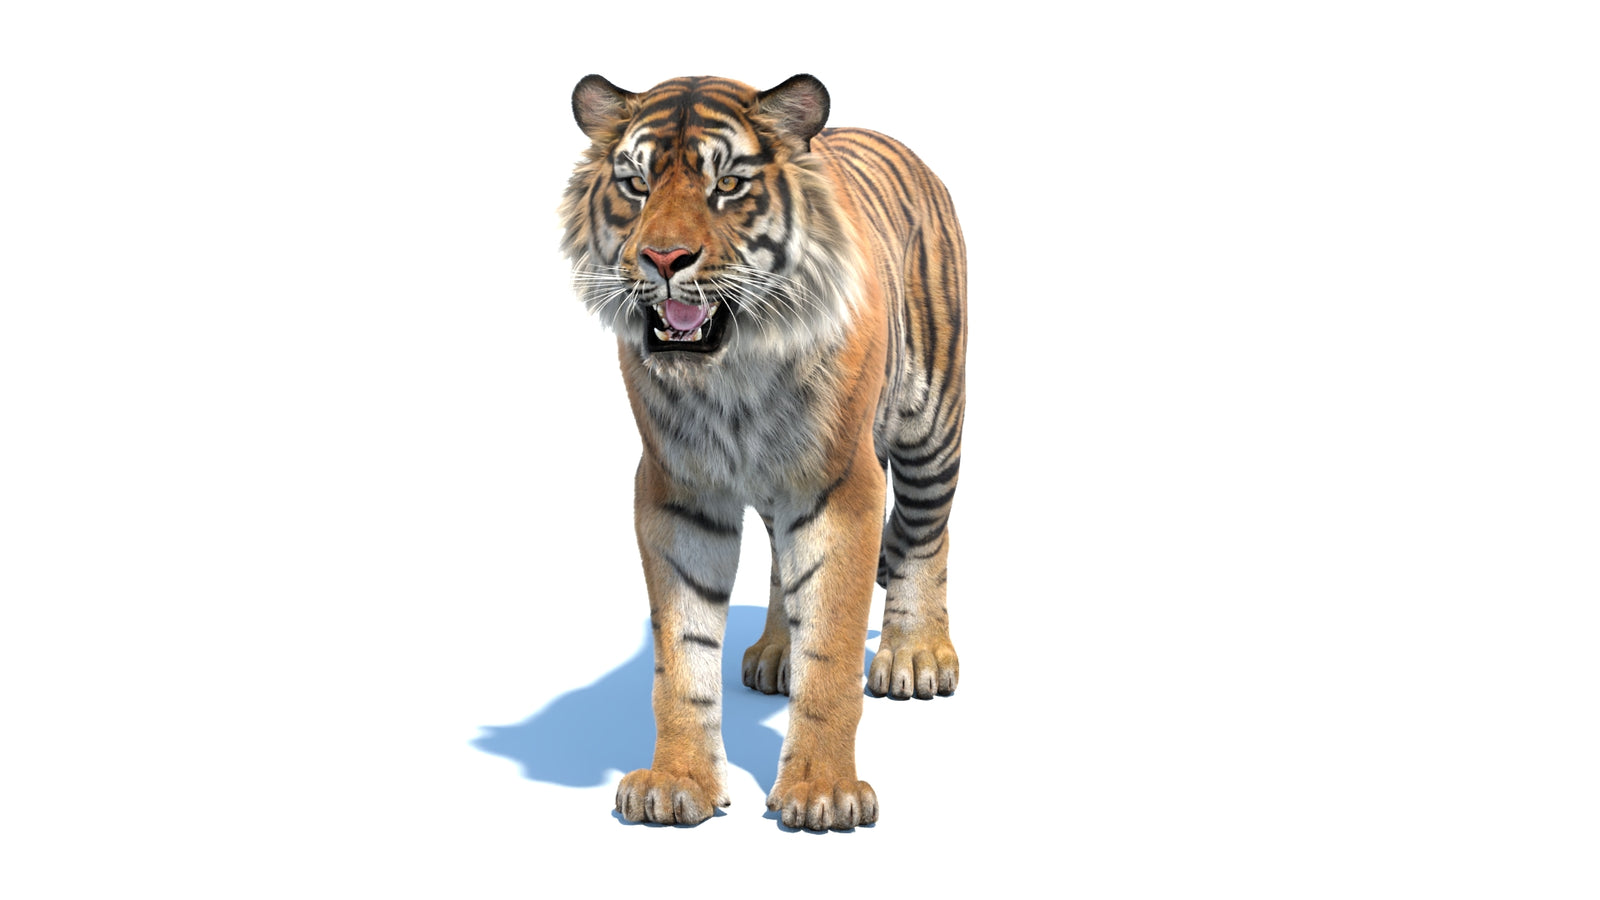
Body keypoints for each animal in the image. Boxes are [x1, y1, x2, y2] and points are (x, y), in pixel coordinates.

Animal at [560, 74, 966, 831]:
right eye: (635, 184)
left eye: (727, 185)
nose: (664, 259)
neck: (732, 372)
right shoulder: (676, 490)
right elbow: (682, 653)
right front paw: (676, 781)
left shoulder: (841, 484)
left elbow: (832, 644)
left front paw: (823, 791)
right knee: (783, 561)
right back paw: (777, 651)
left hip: (932, 424)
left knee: (929, 532)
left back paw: (917, 655)